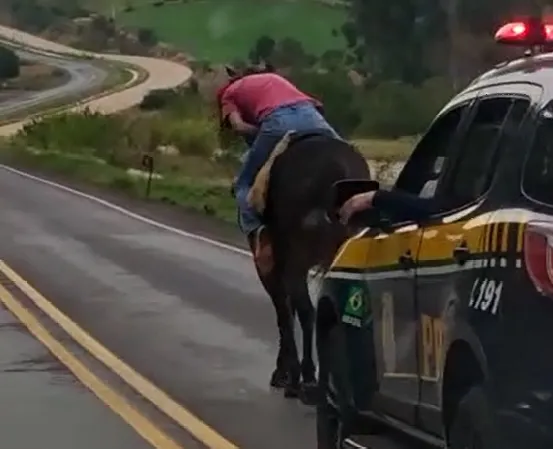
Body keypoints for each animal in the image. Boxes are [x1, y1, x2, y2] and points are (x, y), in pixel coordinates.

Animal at [218, 65, 374, 402]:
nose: (222, 131)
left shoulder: (270, 262)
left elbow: (283, 311)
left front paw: (284, 373)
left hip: (296, 259)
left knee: (306, 310)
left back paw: (306, 379)